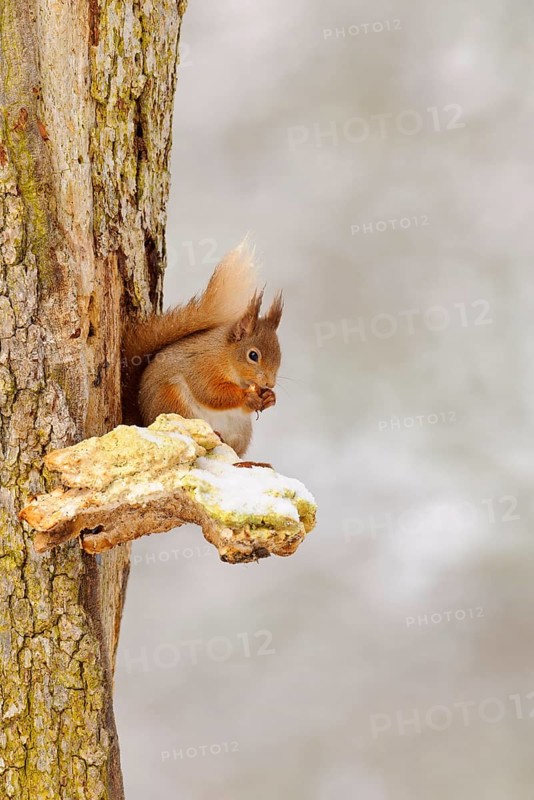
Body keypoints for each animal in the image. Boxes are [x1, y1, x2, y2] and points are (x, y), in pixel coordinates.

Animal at [121, 242, 283, 457]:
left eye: (280, 354)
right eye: (253, 355)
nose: (270, 383)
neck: (225, 355)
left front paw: (269, 398)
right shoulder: (202, 366)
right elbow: (210, 393)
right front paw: (247, 396)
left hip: (241, 430)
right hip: (174, 402)